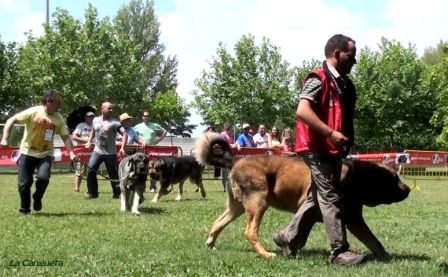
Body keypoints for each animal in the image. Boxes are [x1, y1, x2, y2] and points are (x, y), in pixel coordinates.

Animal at [194, 133, 412, 258]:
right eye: (394, 179)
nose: (408, 189)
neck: (355, 177)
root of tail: (234, 162)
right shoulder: (347, 217)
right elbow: (369, 238)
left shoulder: (350, 217)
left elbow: (371, 240)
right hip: (258, 202)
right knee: (250, 232)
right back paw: (265, 254)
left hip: (237, 206)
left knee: (218, 222)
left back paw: (211, 244)